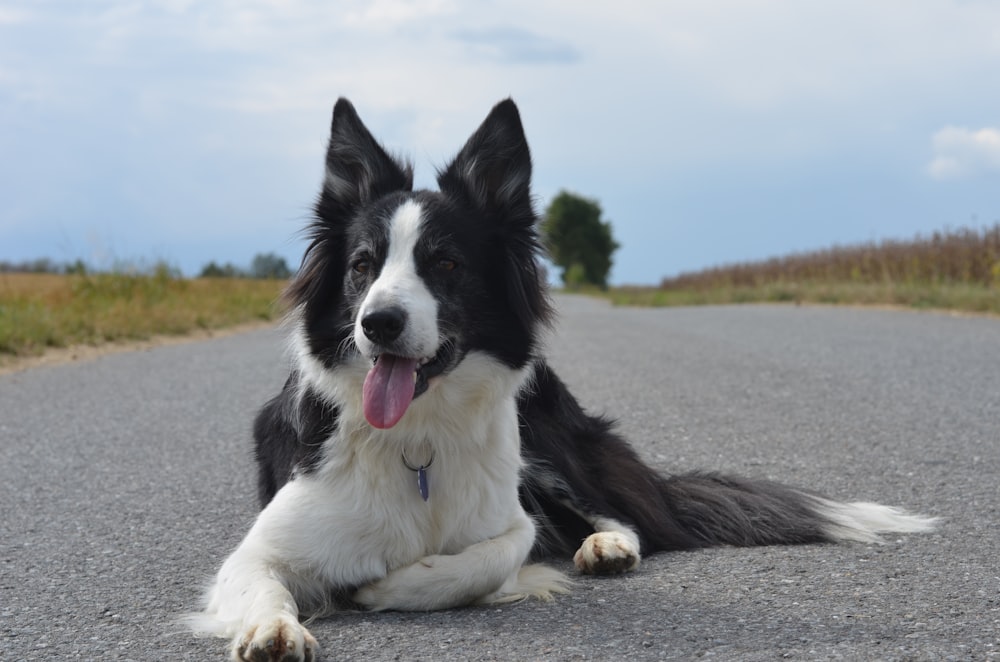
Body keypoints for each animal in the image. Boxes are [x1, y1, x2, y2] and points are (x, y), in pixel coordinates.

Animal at [189, 100, 936, 662]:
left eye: (447, 263)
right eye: (363, 266)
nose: (378, 323)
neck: (417, 440)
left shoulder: (511, 517)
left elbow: (488, 556)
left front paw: (388, 586)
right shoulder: (260, 547)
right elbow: (262, 583)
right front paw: (273, 627)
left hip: (547, 438)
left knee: (617, 511)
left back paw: (605, 545)